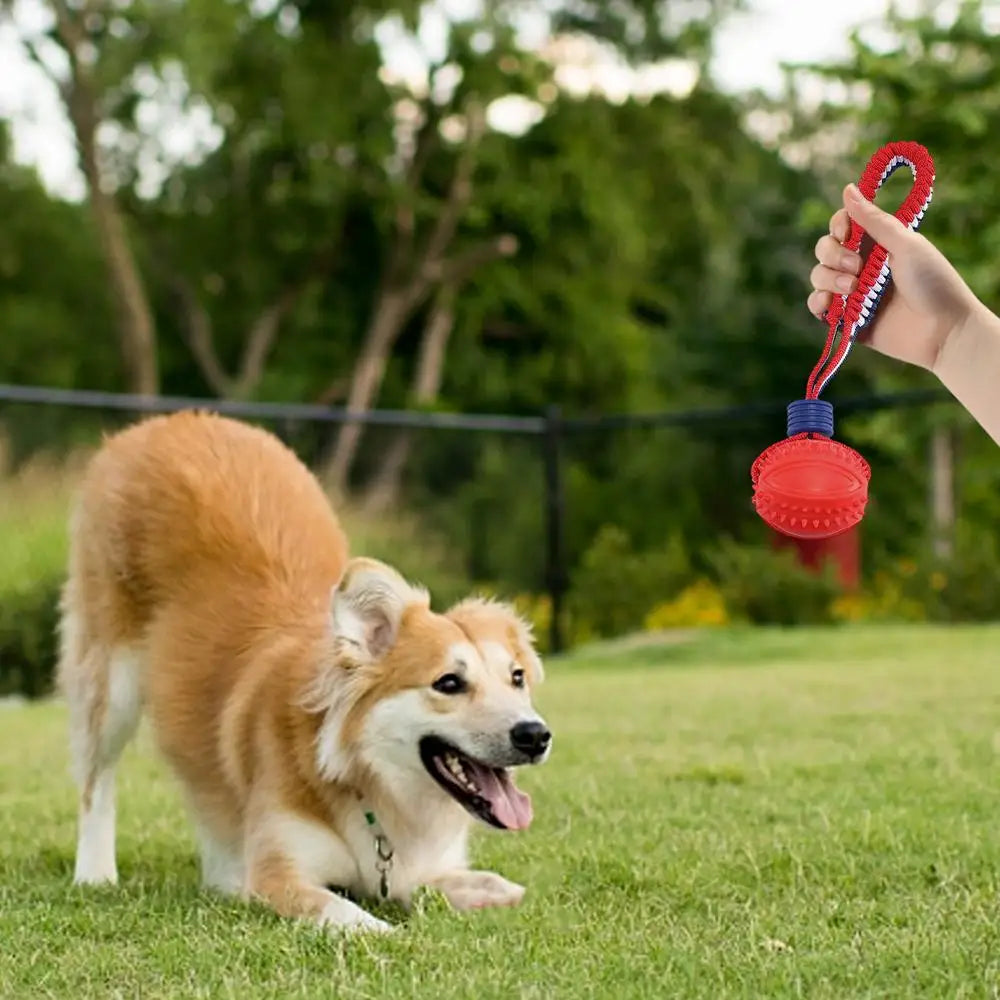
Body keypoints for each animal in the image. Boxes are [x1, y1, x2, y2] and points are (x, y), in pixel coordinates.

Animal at [57, 410, 552, 932]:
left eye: (517, 678)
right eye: (449, 683)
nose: (535, 735)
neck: (366, 782)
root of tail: (170, 420)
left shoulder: (416, 870)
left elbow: (466, 885)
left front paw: (493, 891)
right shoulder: (279, 876)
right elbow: (348, 912)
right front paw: (386, 932)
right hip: (110, 681)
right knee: (95, 781)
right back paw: (95, 872)